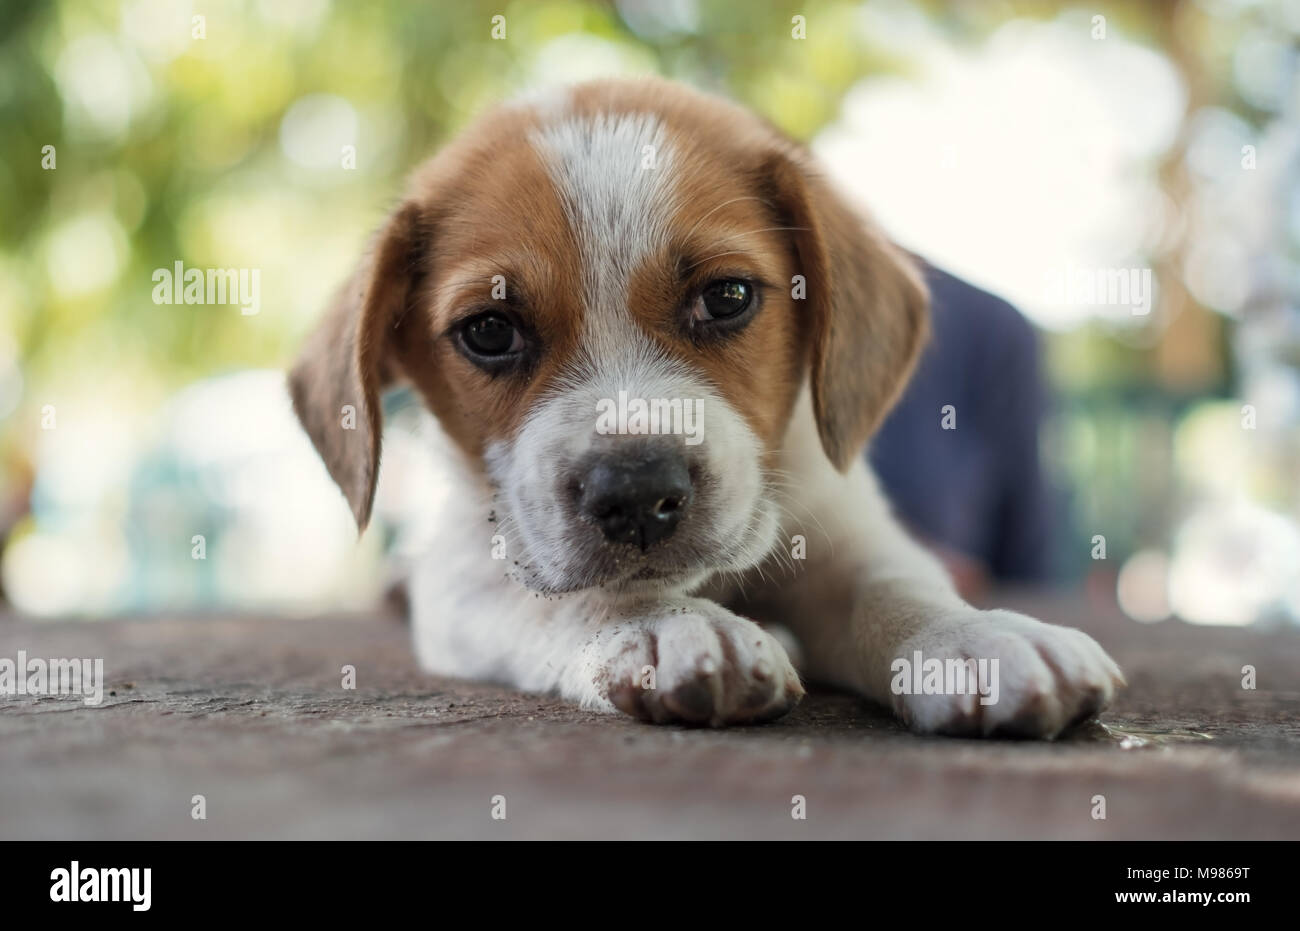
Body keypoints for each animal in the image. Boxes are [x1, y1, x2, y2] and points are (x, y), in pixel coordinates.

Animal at [289, 76, 1123, 738]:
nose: (635, 494)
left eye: (727, 297)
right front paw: (665, 626)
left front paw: (974, 639)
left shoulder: (845, 532)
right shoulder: (469, 575)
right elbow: (576, 601)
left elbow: (897, 587)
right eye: (489, 331)